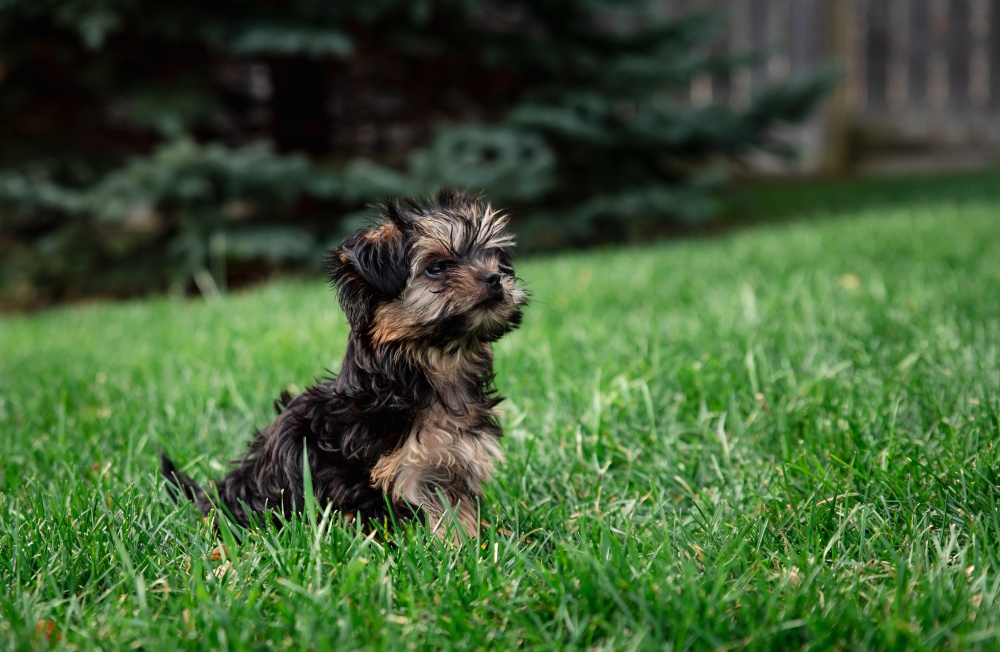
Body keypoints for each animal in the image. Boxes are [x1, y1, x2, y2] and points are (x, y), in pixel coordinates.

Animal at [160, 190, 528, 540]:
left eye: (492, 258)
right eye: (436, 267)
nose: (494, 278)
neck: (437, 366)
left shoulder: (455, 461)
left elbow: (459, 512)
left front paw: (471, 543)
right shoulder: (401, 474)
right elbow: (428, 518)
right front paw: (447, 549)